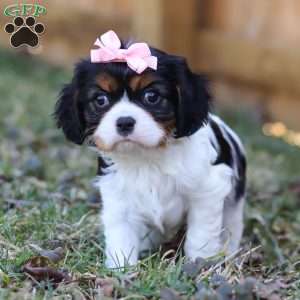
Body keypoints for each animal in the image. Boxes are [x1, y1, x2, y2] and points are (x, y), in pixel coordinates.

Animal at [54, 31, 246, 268]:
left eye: (151, 97)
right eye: (100, 100)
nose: (124, 122)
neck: (147, 156)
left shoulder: (206, 192)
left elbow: (201, 234)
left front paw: (199, 262)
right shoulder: (118, 198)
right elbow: (121, 236)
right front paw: (121, 269)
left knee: (231, 226)